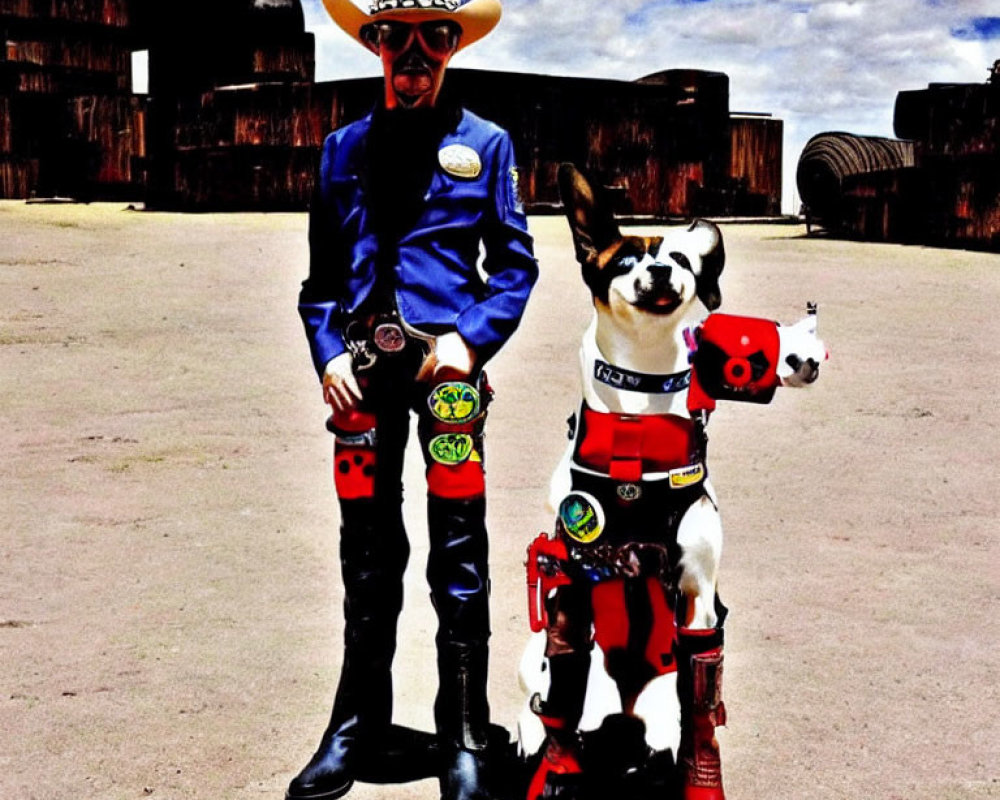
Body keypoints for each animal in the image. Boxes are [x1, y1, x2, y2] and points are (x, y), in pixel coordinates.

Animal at [520, 164, 824, 800]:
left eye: (680, 258)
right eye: (623, 260)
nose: (659, 271)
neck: (637, 421)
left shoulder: (698, 601)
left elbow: (701, 710)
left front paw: (701, 781)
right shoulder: (571, 588)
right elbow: (562, 689)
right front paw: (557, 774)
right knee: (551, 703)